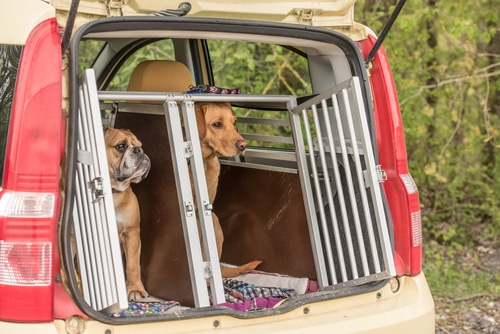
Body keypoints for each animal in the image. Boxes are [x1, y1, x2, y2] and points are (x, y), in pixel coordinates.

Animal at [104, 126, 151, 302]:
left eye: (140, 145)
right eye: (121, 146)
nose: (139, 150)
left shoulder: (132, 233)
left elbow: (132, 265)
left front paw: (134, 289)